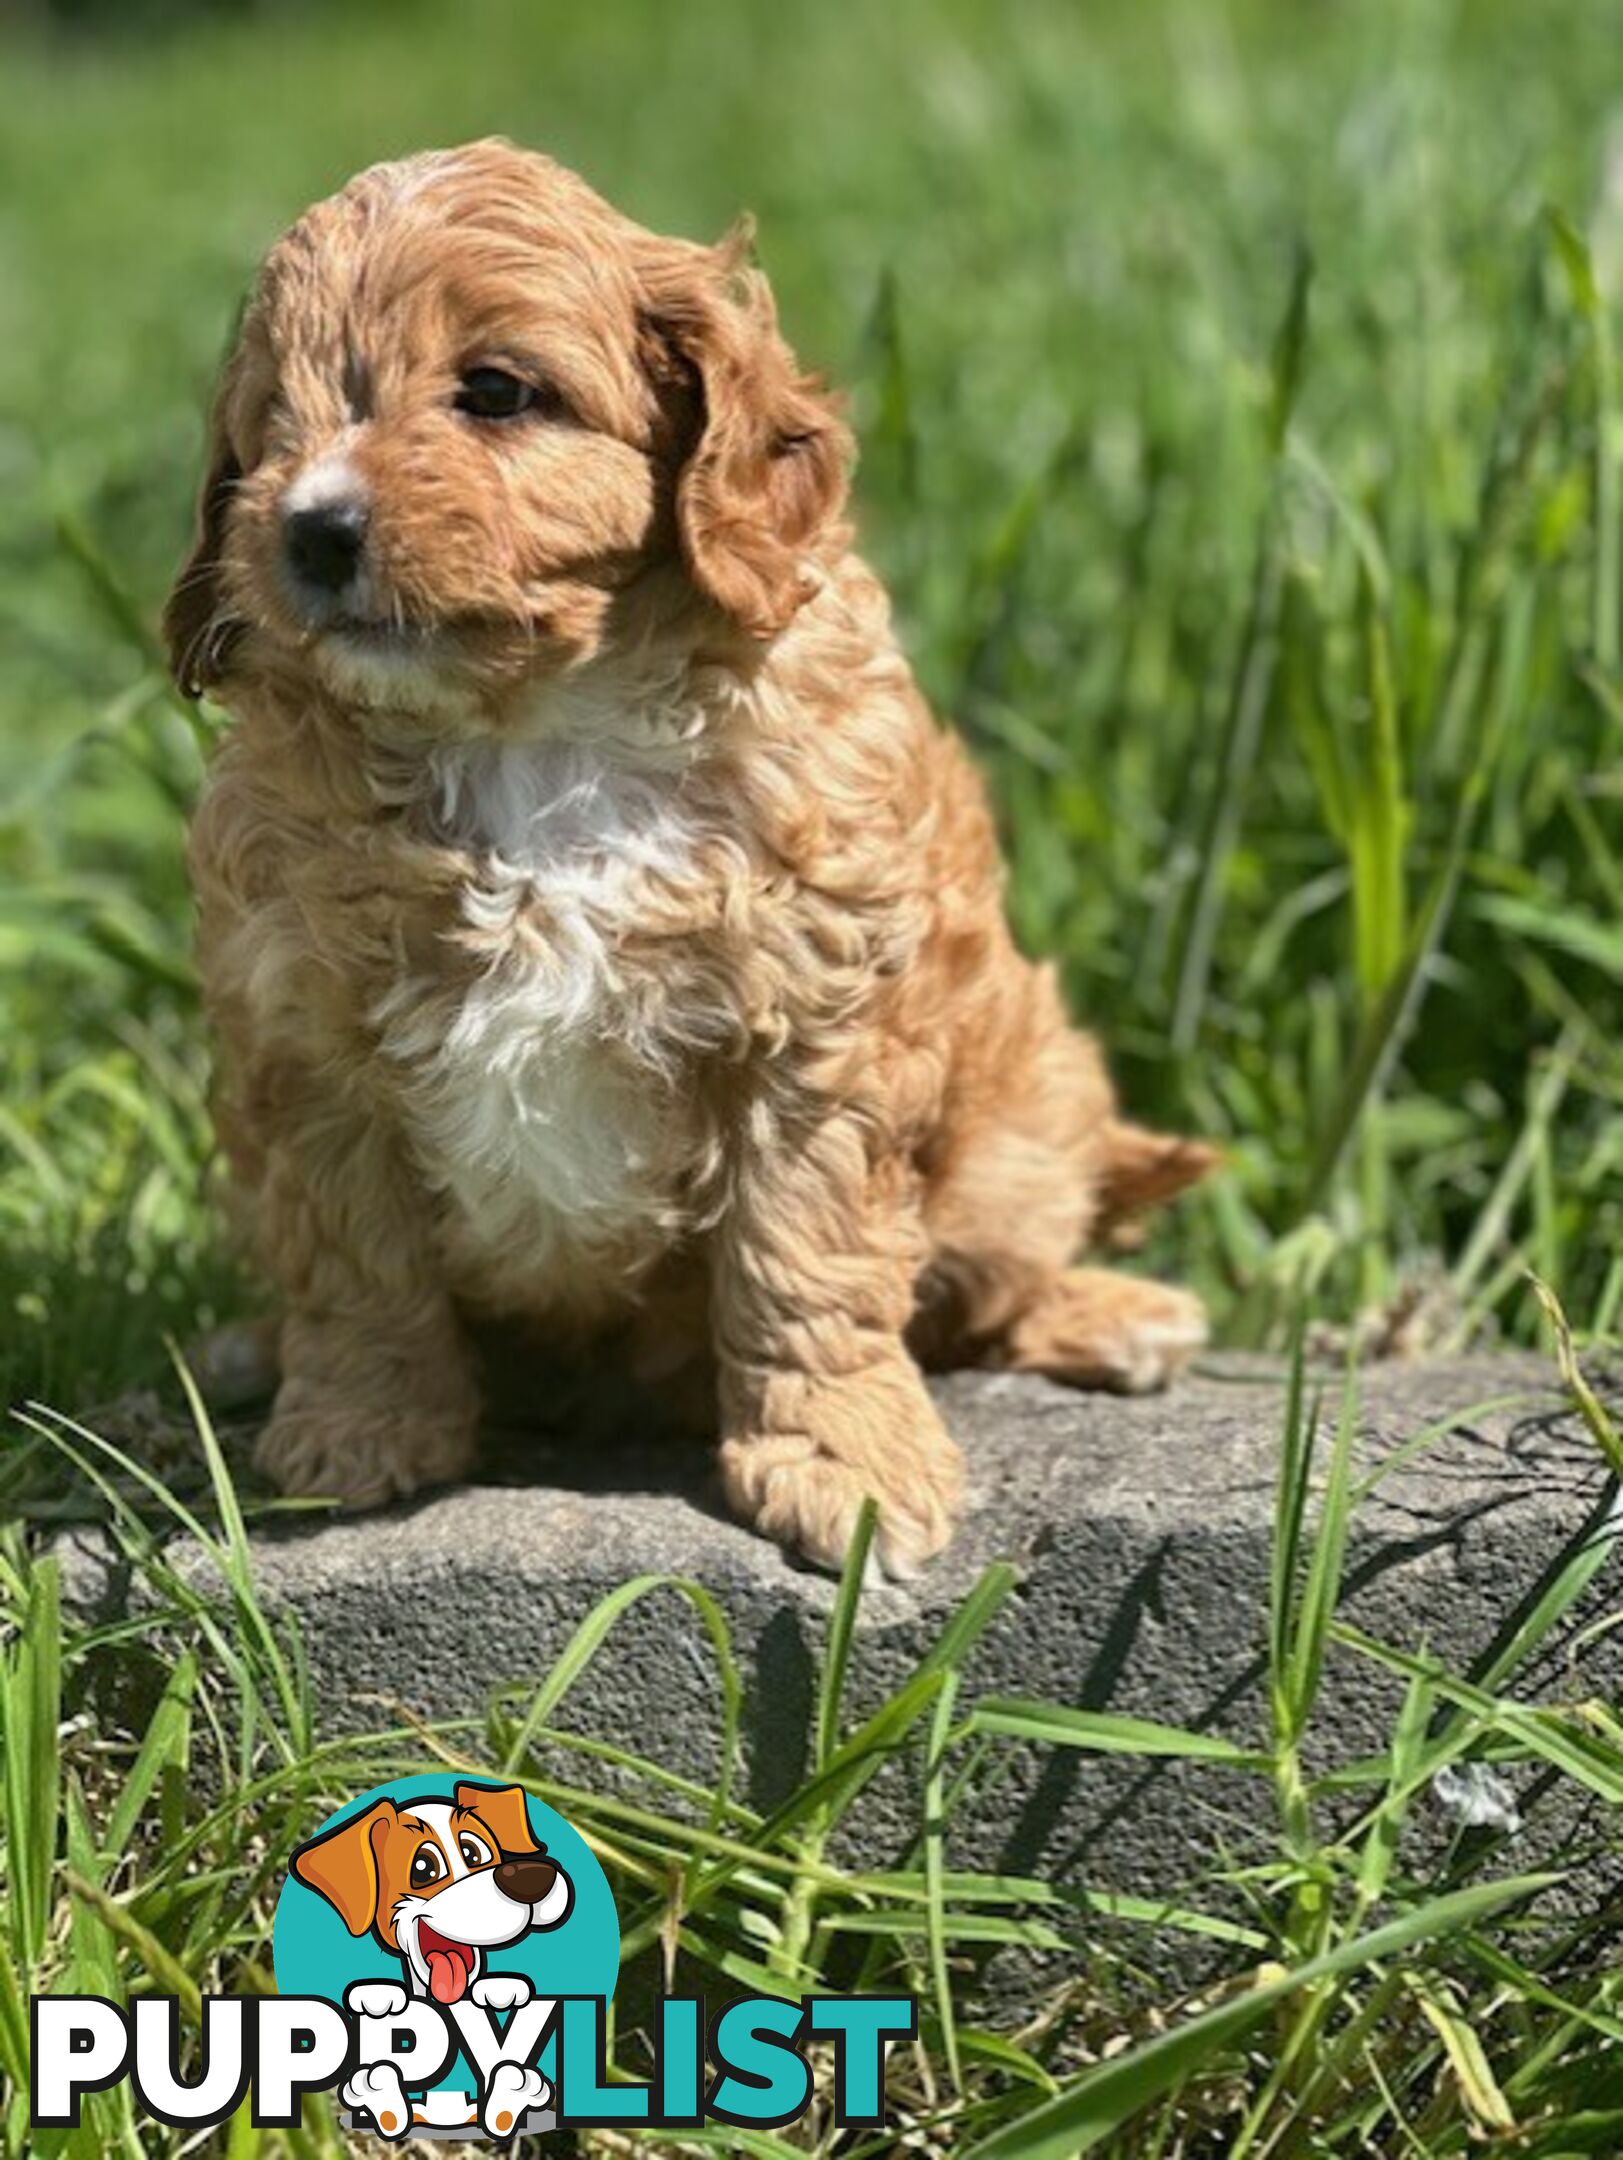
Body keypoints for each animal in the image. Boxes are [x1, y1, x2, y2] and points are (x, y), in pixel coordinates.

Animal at [171, 143, 1210, 1581]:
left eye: (496, 393)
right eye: (272, 427)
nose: (310, 530)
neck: (531, 732)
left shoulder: (813, 1027)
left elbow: (808, 1259)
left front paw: (844, 1466)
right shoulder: (307, 1039)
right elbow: (356, 1260)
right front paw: (361, 1433)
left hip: (1017, 1129)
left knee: (987, 1276)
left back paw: (1113, 1314)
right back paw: (245, 1352)